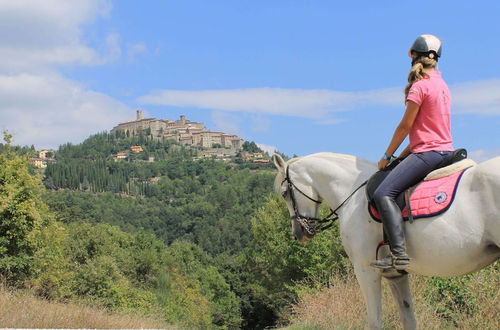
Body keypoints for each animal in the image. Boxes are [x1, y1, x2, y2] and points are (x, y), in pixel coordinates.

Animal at [274, 153, 500, 328]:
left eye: (285, 193)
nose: (299, 233)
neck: (353, 194)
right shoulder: (396, 275)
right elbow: (408, 319)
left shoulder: (365, 271)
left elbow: (375, 322)